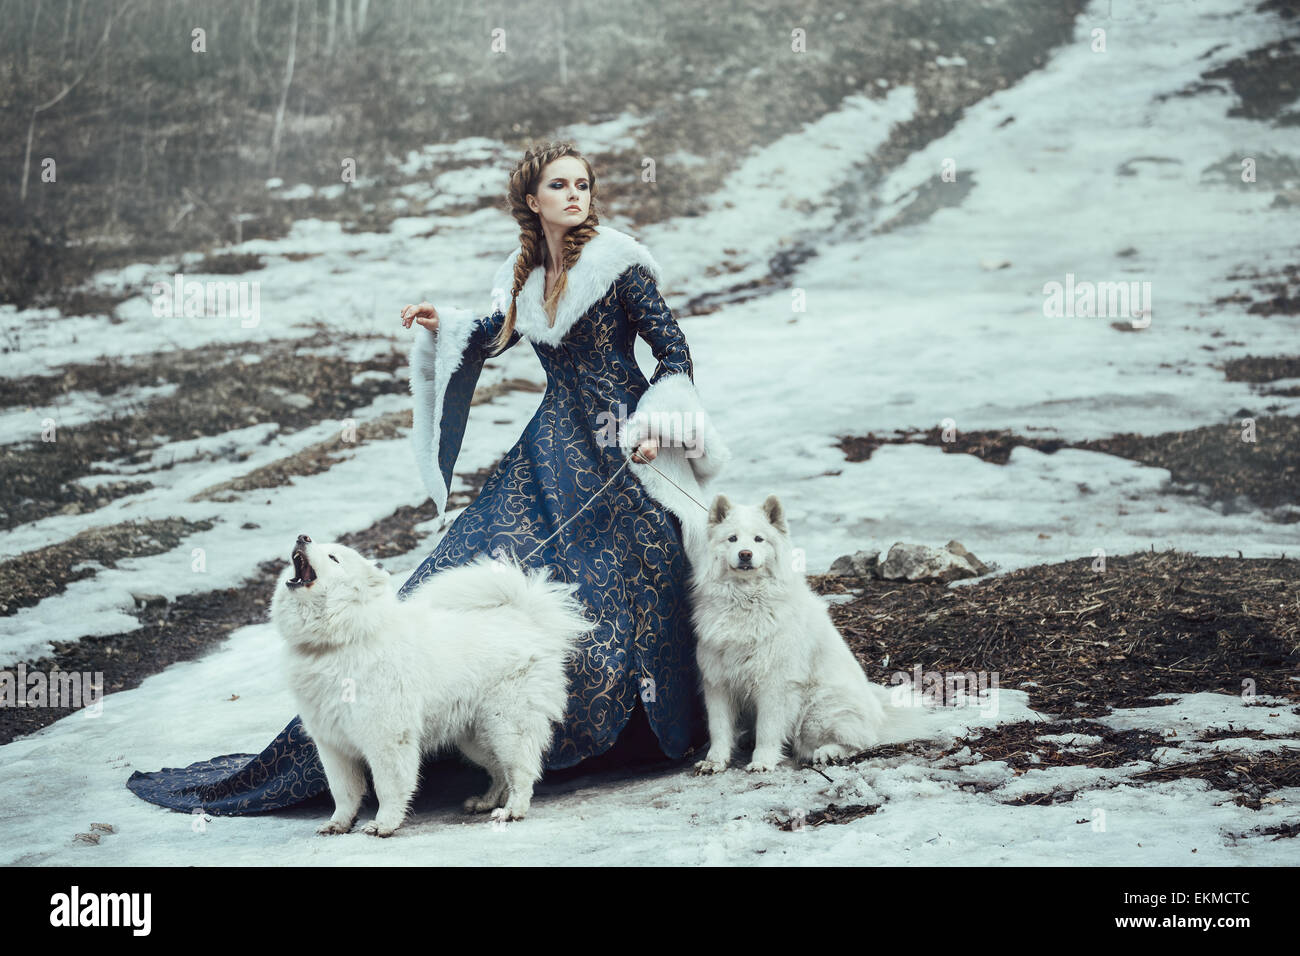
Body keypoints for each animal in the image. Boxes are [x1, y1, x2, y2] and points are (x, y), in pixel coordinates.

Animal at [271, 538, 592, 837]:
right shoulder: (333, 745)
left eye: (333, 557)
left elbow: (388, 787)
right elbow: (343, 792)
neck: (340, 639)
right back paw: (485, 802)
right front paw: (338, 824)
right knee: (499, 772)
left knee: (521, 771)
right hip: (476, 739)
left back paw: (512, 810)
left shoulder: (386, 738)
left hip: (508, 727)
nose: (302, 537)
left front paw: (383, 825)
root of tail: (525, 618)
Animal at [691, 496, 935, 775]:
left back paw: (828, 752)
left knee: (860, 741)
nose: (745, 554)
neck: (745, 601)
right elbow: (719, 728)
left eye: (758, 539)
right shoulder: (717, 682)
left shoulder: (775, 684)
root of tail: (880, 714)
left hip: (816, 711)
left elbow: (768, 729)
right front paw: (714, 761)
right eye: (732, 539)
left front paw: (762, 761)